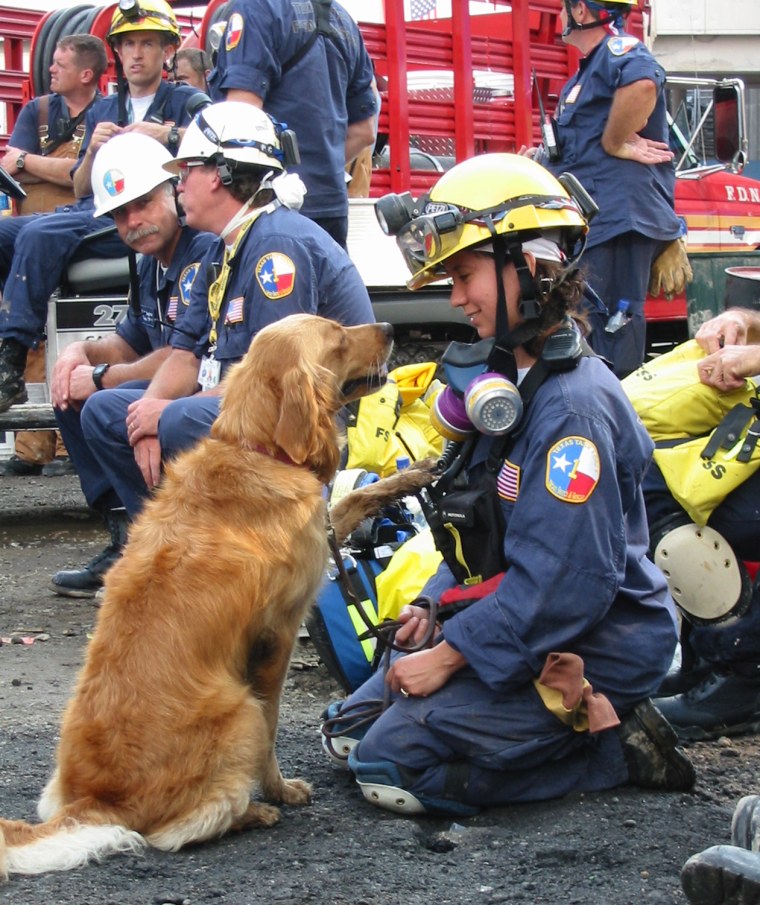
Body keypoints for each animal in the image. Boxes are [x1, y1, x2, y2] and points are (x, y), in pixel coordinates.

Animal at [0, 312, 394, 876]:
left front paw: (410, 478)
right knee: (179, 829)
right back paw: (251, 812)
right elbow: (273, 725)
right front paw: (279, 790)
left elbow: (352, 499)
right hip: (238, 710)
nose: (388, 327)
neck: (255, 449)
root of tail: (96, 802)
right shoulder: (276, 635)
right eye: (339, 337)